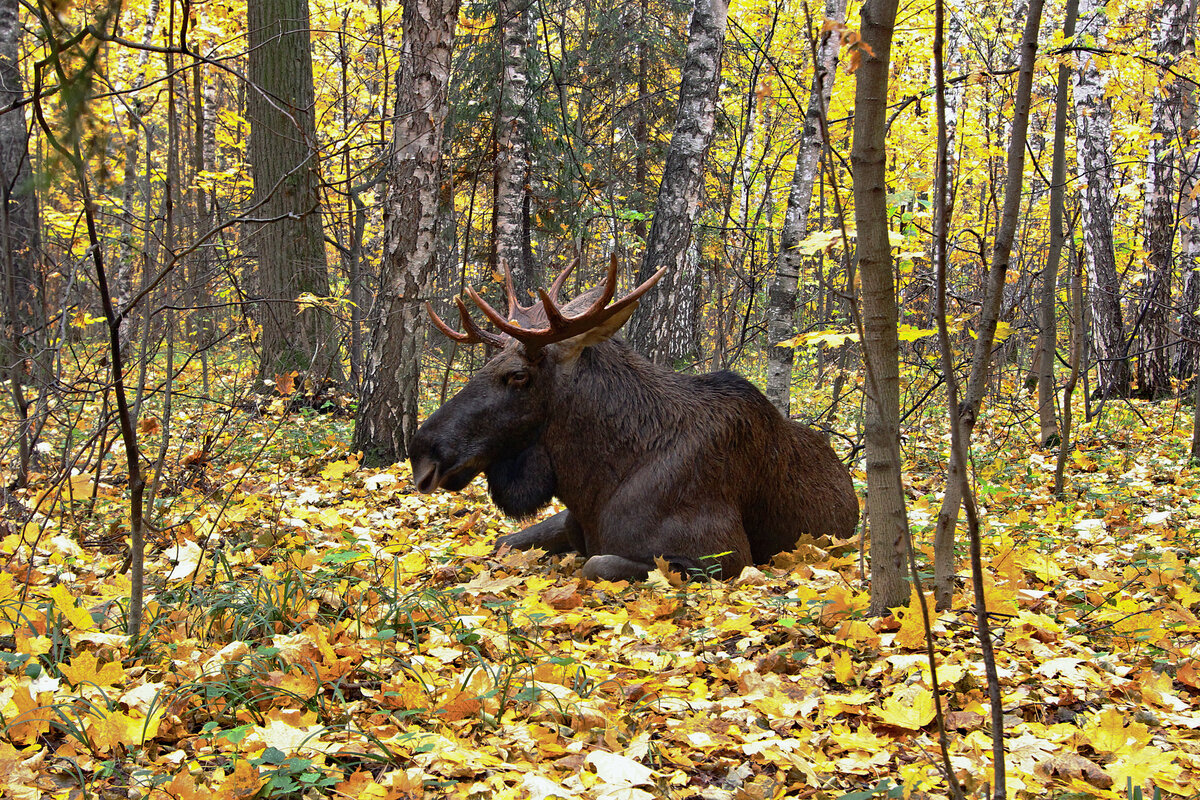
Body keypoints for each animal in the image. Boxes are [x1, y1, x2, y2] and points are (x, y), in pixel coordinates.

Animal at [408, 260, 859, 578]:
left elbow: (596, 564)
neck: (597, 480)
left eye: (519, 375)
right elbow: (503, 543)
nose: (421, 452)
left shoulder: (725, 556)